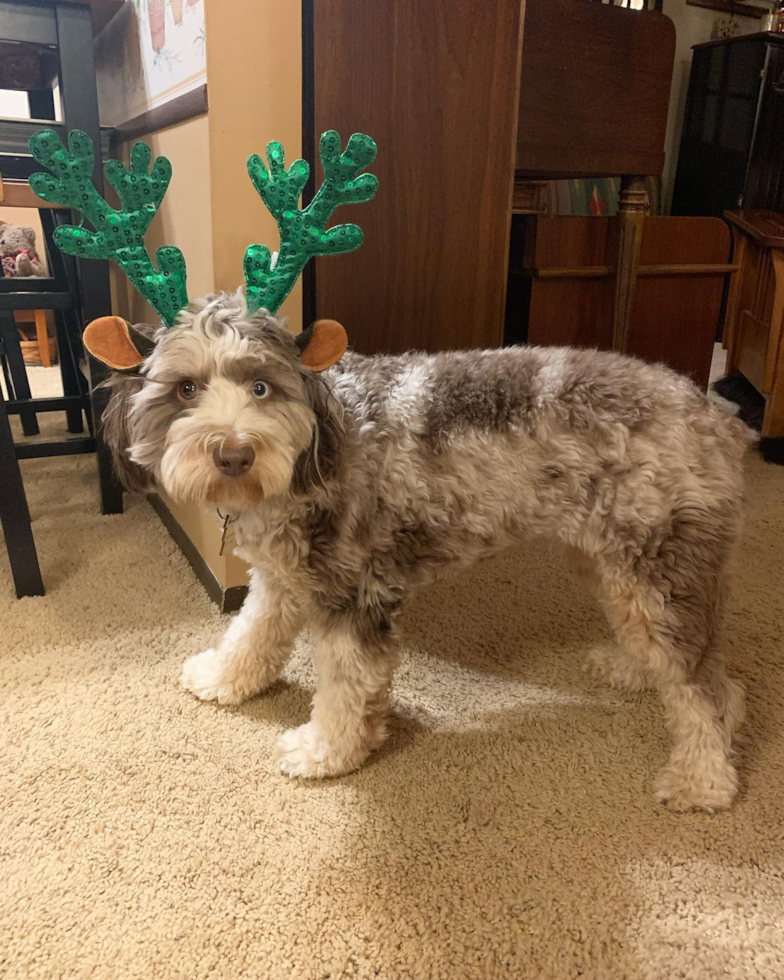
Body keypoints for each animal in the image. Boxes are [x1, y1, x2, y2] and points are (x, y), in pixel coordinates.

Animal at [101, 290, 752, 812]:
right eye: (185, 389)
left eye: (261, 387)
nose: (234, 454)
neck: (325, 438)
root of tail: (711, 411)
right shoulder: (282, 578)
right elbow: (251, 635)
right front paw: (225, 677)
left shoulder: (353, 598)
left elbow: (346, 687)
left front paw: (325, 751)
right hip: (610, 565)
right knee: (672, 659)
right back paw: (632, 669)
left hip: (658, 570)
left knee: (708, 689)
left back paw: (702, 780)